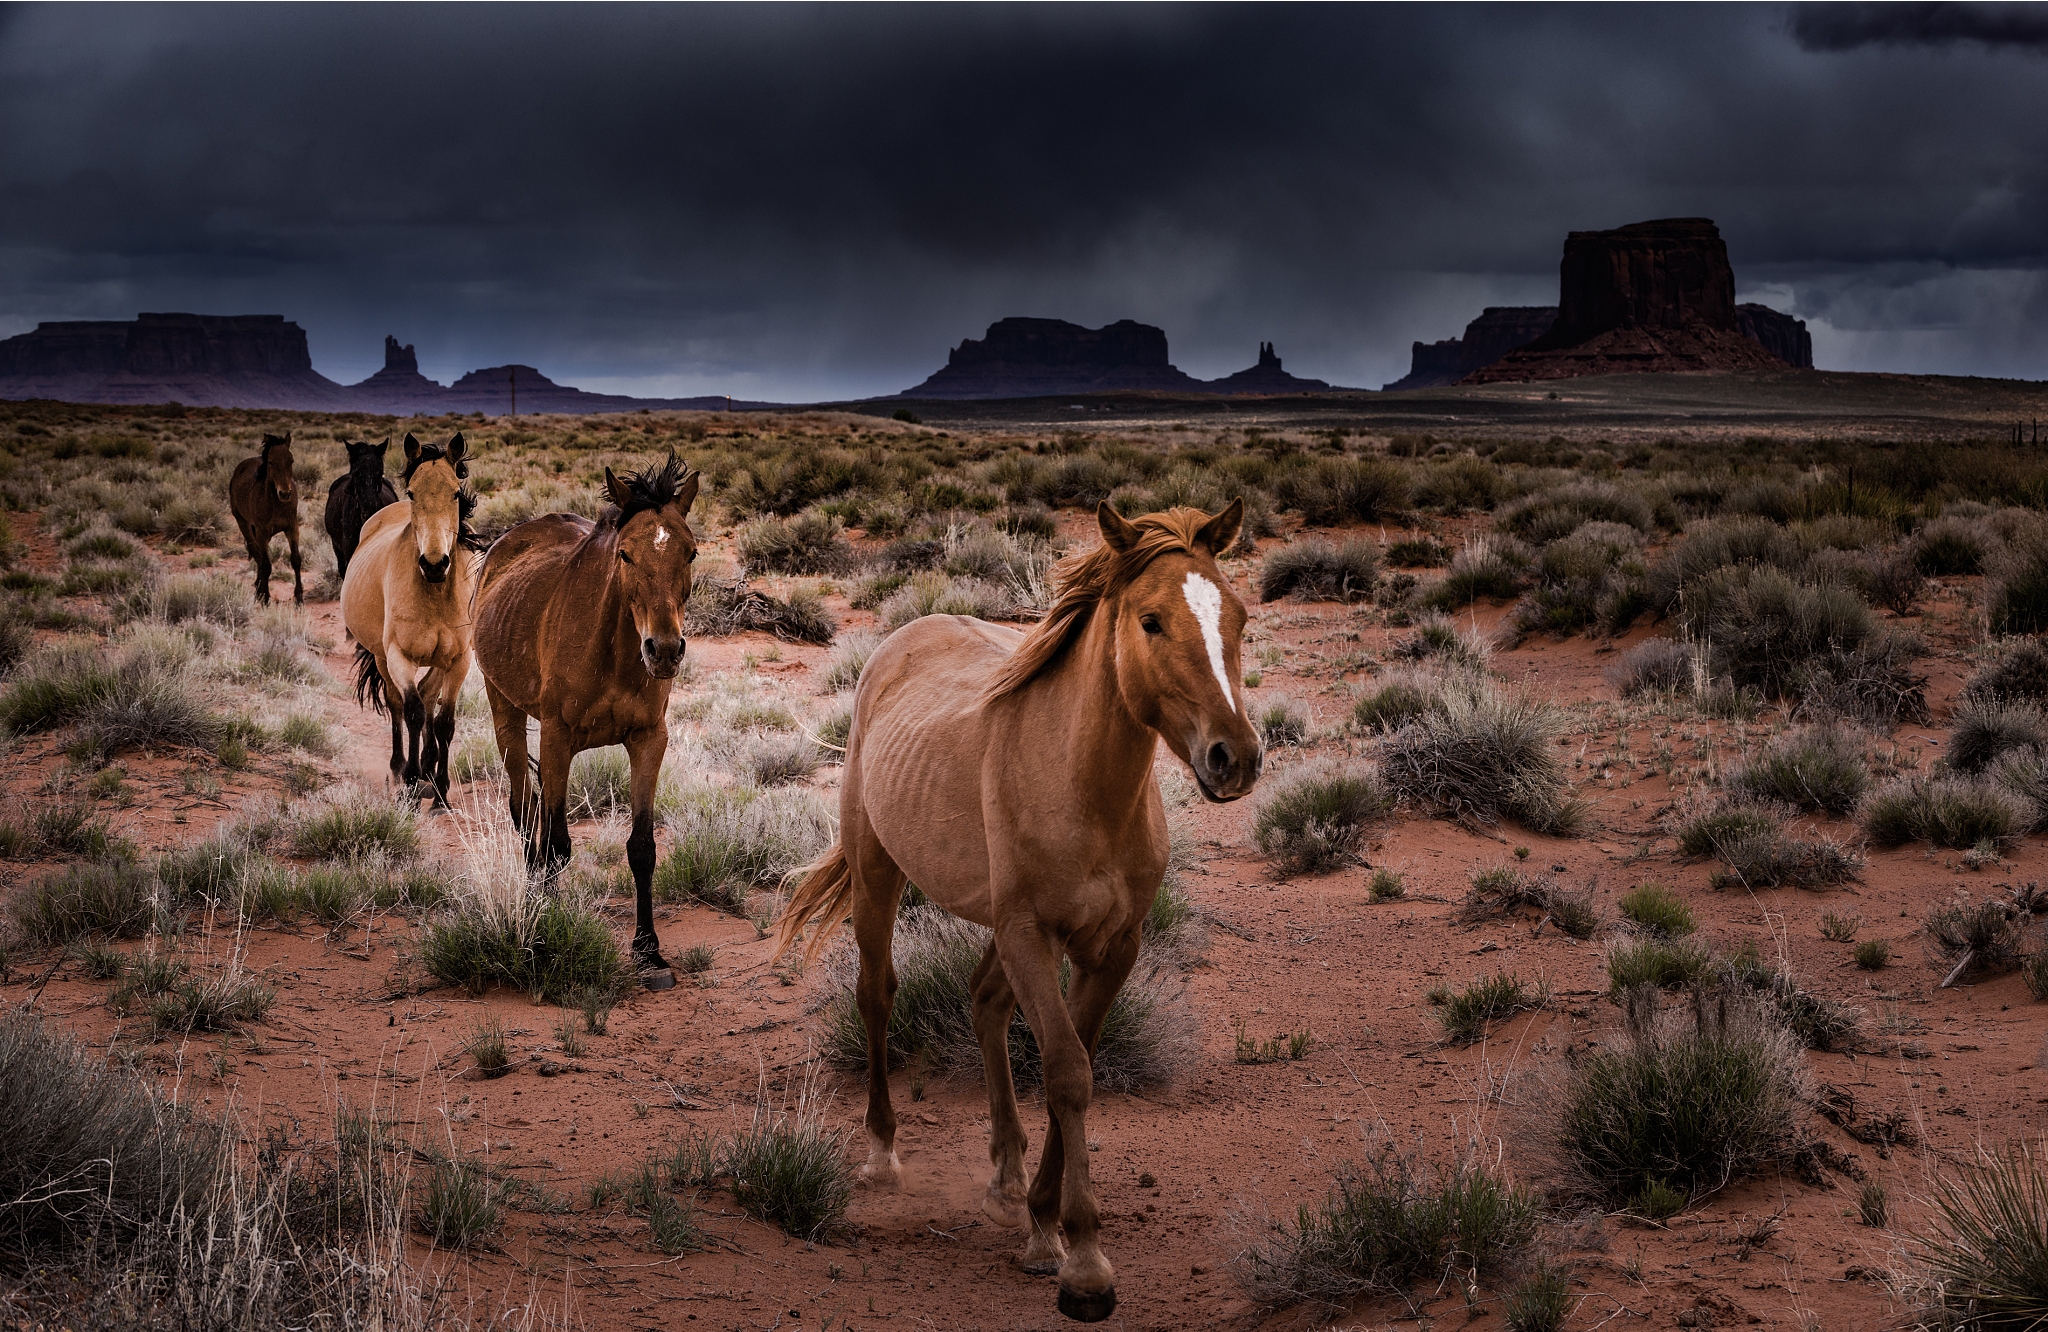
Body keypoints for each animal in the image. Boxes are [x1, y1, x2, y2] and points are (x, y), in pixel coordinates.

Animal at [228, 430, 303, 602]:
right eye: (271, 462)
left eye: (291, 460)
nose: (285, 493)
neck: (276, 504)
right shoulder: (262, 533)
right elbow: (266, 564)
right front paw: (265, 597)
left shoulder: (292, 528)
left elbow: (296, 560)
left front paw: (299, 597)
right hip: (243, 523)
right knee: (257, 554)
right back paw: (260, 590)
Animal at [473, 452, 704, 983]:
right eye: (625, 554)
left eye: (691, 553)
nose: (664, 650)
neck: (613, 653)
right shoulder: (557, 738)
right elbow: (558, 843)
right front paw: (547, 932)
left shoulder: (648, 740)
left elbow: (642, 848)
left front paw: (648, 949)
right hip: (505, 711)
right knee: (524, 809)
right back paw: (534, 895)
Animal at [774, 497, 1261, 1319]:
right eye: (1152, 621)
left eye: (1238, 615)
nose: (1236, 758)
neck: (1082, 785)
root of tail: (904, 635)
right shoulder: (1032, 933)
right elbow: (1066, 1072)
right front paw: (1083, 1262)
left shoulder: (1112, 946)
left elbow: (1081, 1061)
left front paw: (1041, 1217)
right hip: (880, 874)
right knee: (877, 996)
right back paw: (883, 1150)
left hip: (997, 925)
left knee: (984, 1002)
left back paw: (1005, 1175)